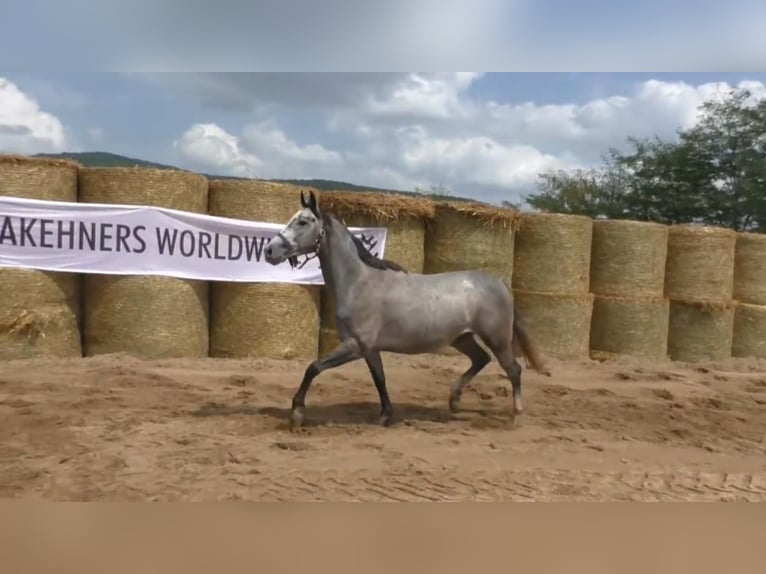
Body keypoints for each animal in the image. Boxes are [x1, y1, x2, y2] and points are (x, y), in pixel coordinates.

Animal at [266, 191, 552, 430]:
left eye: (303, 222)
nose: (269, 250)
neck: (359, 282)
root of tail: (500, 283)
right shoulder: (370, 349)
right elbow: (379, 379)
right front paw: (385, 416)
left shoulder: (355, 345)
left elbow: (313, 368)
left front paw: (297, 414)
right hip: (462, 338)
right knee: (481, 359)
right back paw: (454, 400)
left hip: (497, 338)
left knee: (513, 370)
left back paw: (515, 414)